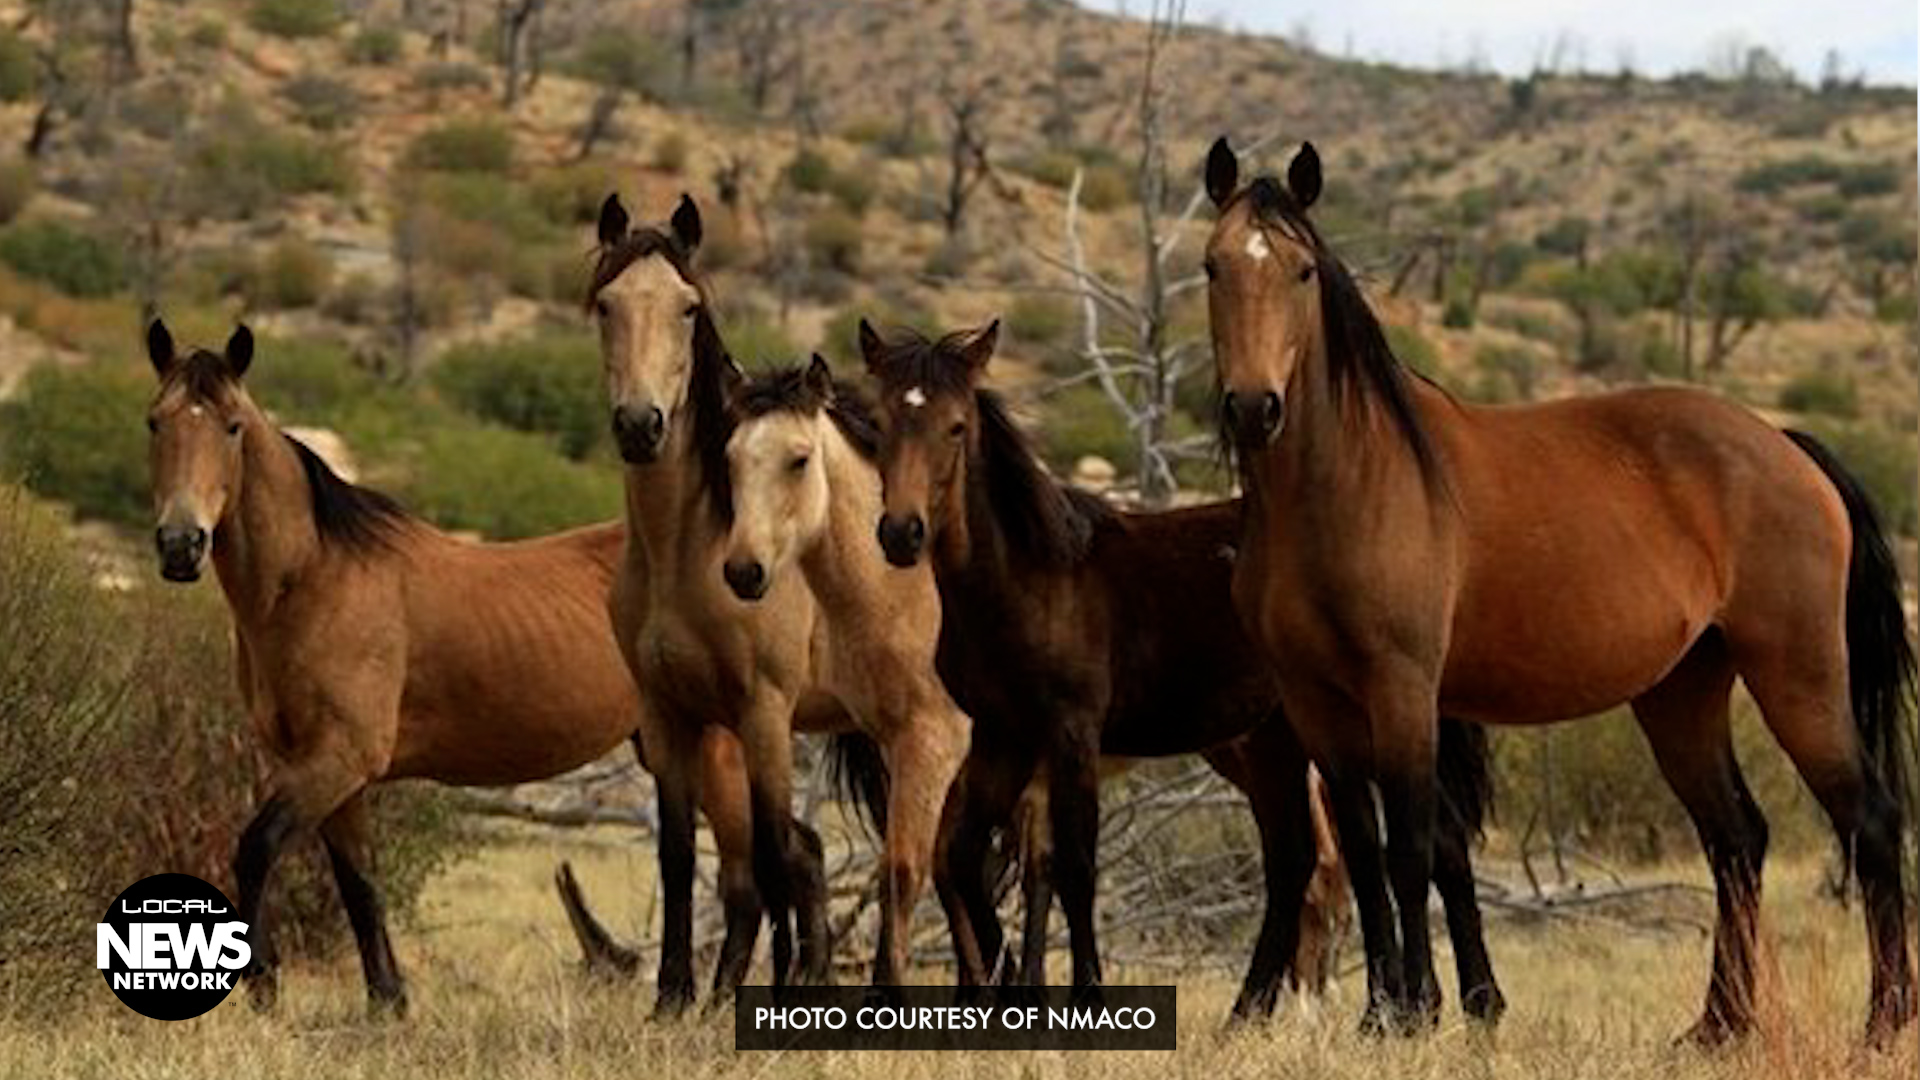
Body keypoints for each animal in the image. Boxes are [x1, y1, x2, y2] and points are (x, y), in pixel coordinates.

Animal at [864, 319, 1505, 1014]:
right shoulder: (1001, 737)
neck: (1030, 579)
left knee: (1432, 843)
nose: (901, 534)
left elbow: (1076, 866)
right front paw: (1009, 993)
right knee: (1297, 859)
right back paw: (1249, 1013)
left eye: (956, 426)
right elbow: (962, 860)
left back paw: (1470, 1004)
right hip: (1270, 742)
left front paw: (1084, 998)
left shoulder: (1071, 732)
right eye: (879, 421)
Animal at [1205, 134, 1912, 1045]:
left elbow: (1410, 847)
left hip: (1799, 676)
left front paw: (1419, 1010)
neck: (1347, 487)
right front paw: (1381, 1014)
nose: (1254, 408)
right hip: (1682, 693)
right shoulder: (1315, 704)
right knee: (1736, 838)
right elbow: (1362, 854)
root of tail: (1785, 445)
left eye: (1300, 272)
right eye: (1213, 266)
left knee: (1869, 821)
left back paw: (1883, 1021)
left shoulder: (1402, 692)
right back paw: (1717, 1027)